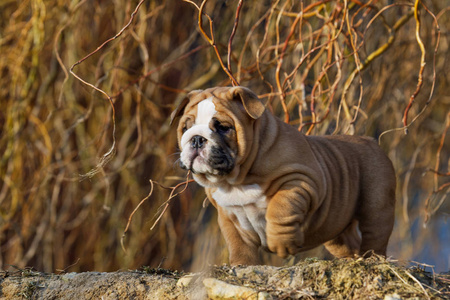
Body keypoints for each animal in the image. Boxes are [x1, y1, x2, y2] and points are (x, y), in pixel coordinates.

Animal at [171, 85, 396, 264]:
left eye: (223, 127)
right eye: (186, 127)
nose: (196, 138)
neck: (236, 180)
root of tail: (370, 141)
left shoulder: (300, 181)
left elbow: (280, 209)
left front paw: (281, 244)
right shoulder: (228, 215)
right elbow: (238, 244)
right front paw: (240, 265)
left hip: (376, 205)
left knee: (375, 234)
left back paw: (373, 260)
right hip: (337, 228)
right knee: (349, 243)